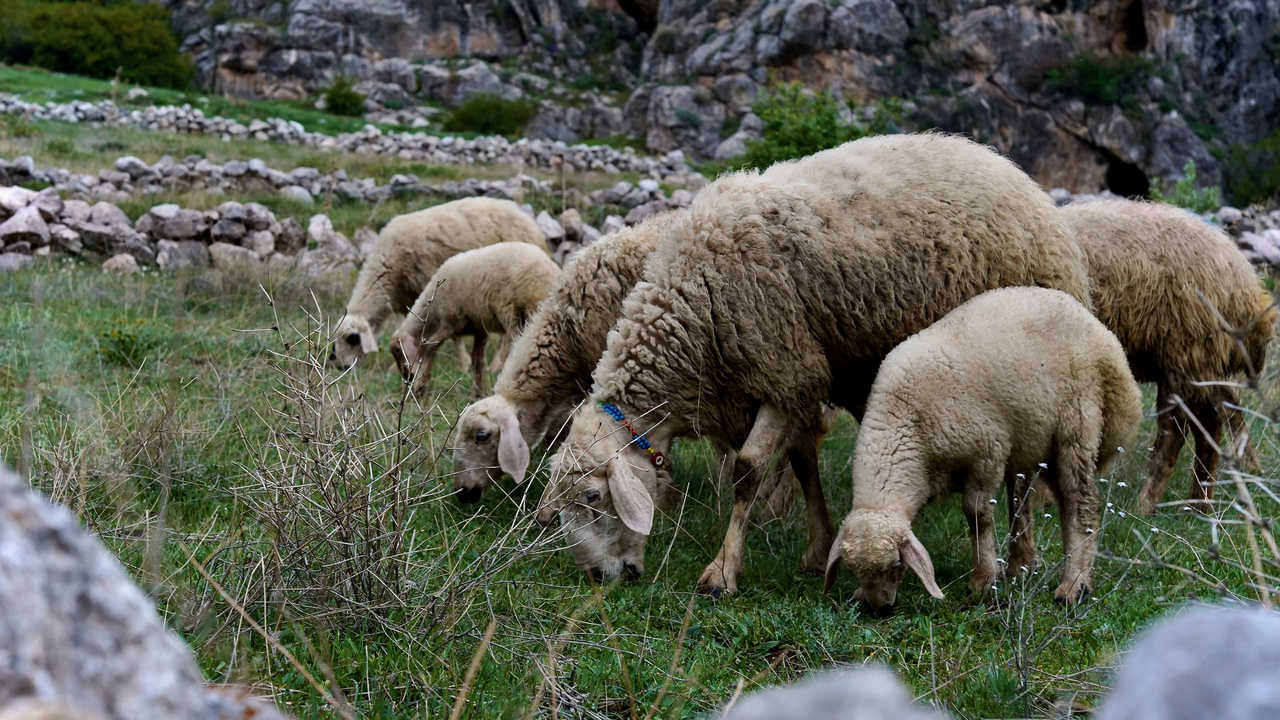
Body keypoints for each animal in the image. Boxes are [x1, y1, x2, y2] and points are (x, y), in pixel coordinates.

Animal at [331, 197, 548, 370]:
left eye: (352, 339)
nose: (342, 367)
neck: (387, 268)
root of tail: (526, 218)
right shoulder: (410, 299)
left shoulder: (438, 291)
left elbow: (452, 334)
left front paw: (464, 364)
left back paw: (497, 364)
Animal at [389, 242, 560, 398]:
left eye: (399, 352)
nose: (407, 379)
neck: (432, 312)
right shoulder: (480, 328)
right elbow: (477, 360)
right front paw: (476, 393)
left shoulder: (450, 321)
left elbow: (429, 348)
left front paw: (421, 384)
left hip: (511, 311)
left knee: (512, 347)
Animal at [537, 132, 1092, 595]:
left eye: (592, 497)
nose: (597, 577)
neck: (691, 310)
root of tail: (1017, 174)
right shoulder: (787, 382)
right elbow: (803, 463)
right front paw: (817, 546)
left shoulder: (786, 367)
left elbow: (748, 471)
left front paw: (723, 572)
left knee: (1023, 471)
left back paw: (1020, 559)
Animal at [823, 287, 1141, 611]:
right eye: (855, 571)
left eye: (895, 566)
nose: (880, 609)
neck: (905, 420)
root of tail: (1101, 334)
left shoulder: (987, 454)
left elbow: (976, 514)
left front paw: (983, 579)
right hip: (1036, 440)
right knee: (1041, 503)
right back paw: (1026, 568)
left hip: (1077, 422)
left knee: (1081, 503)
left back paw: (1074, 585)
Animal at [1059, 200, 1276, 515]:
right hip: (1191, 362)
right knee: (1218, 413)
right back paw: (1201, 502)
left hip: (1186, 355)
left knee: (1182, 430)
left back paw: (1148, 505)